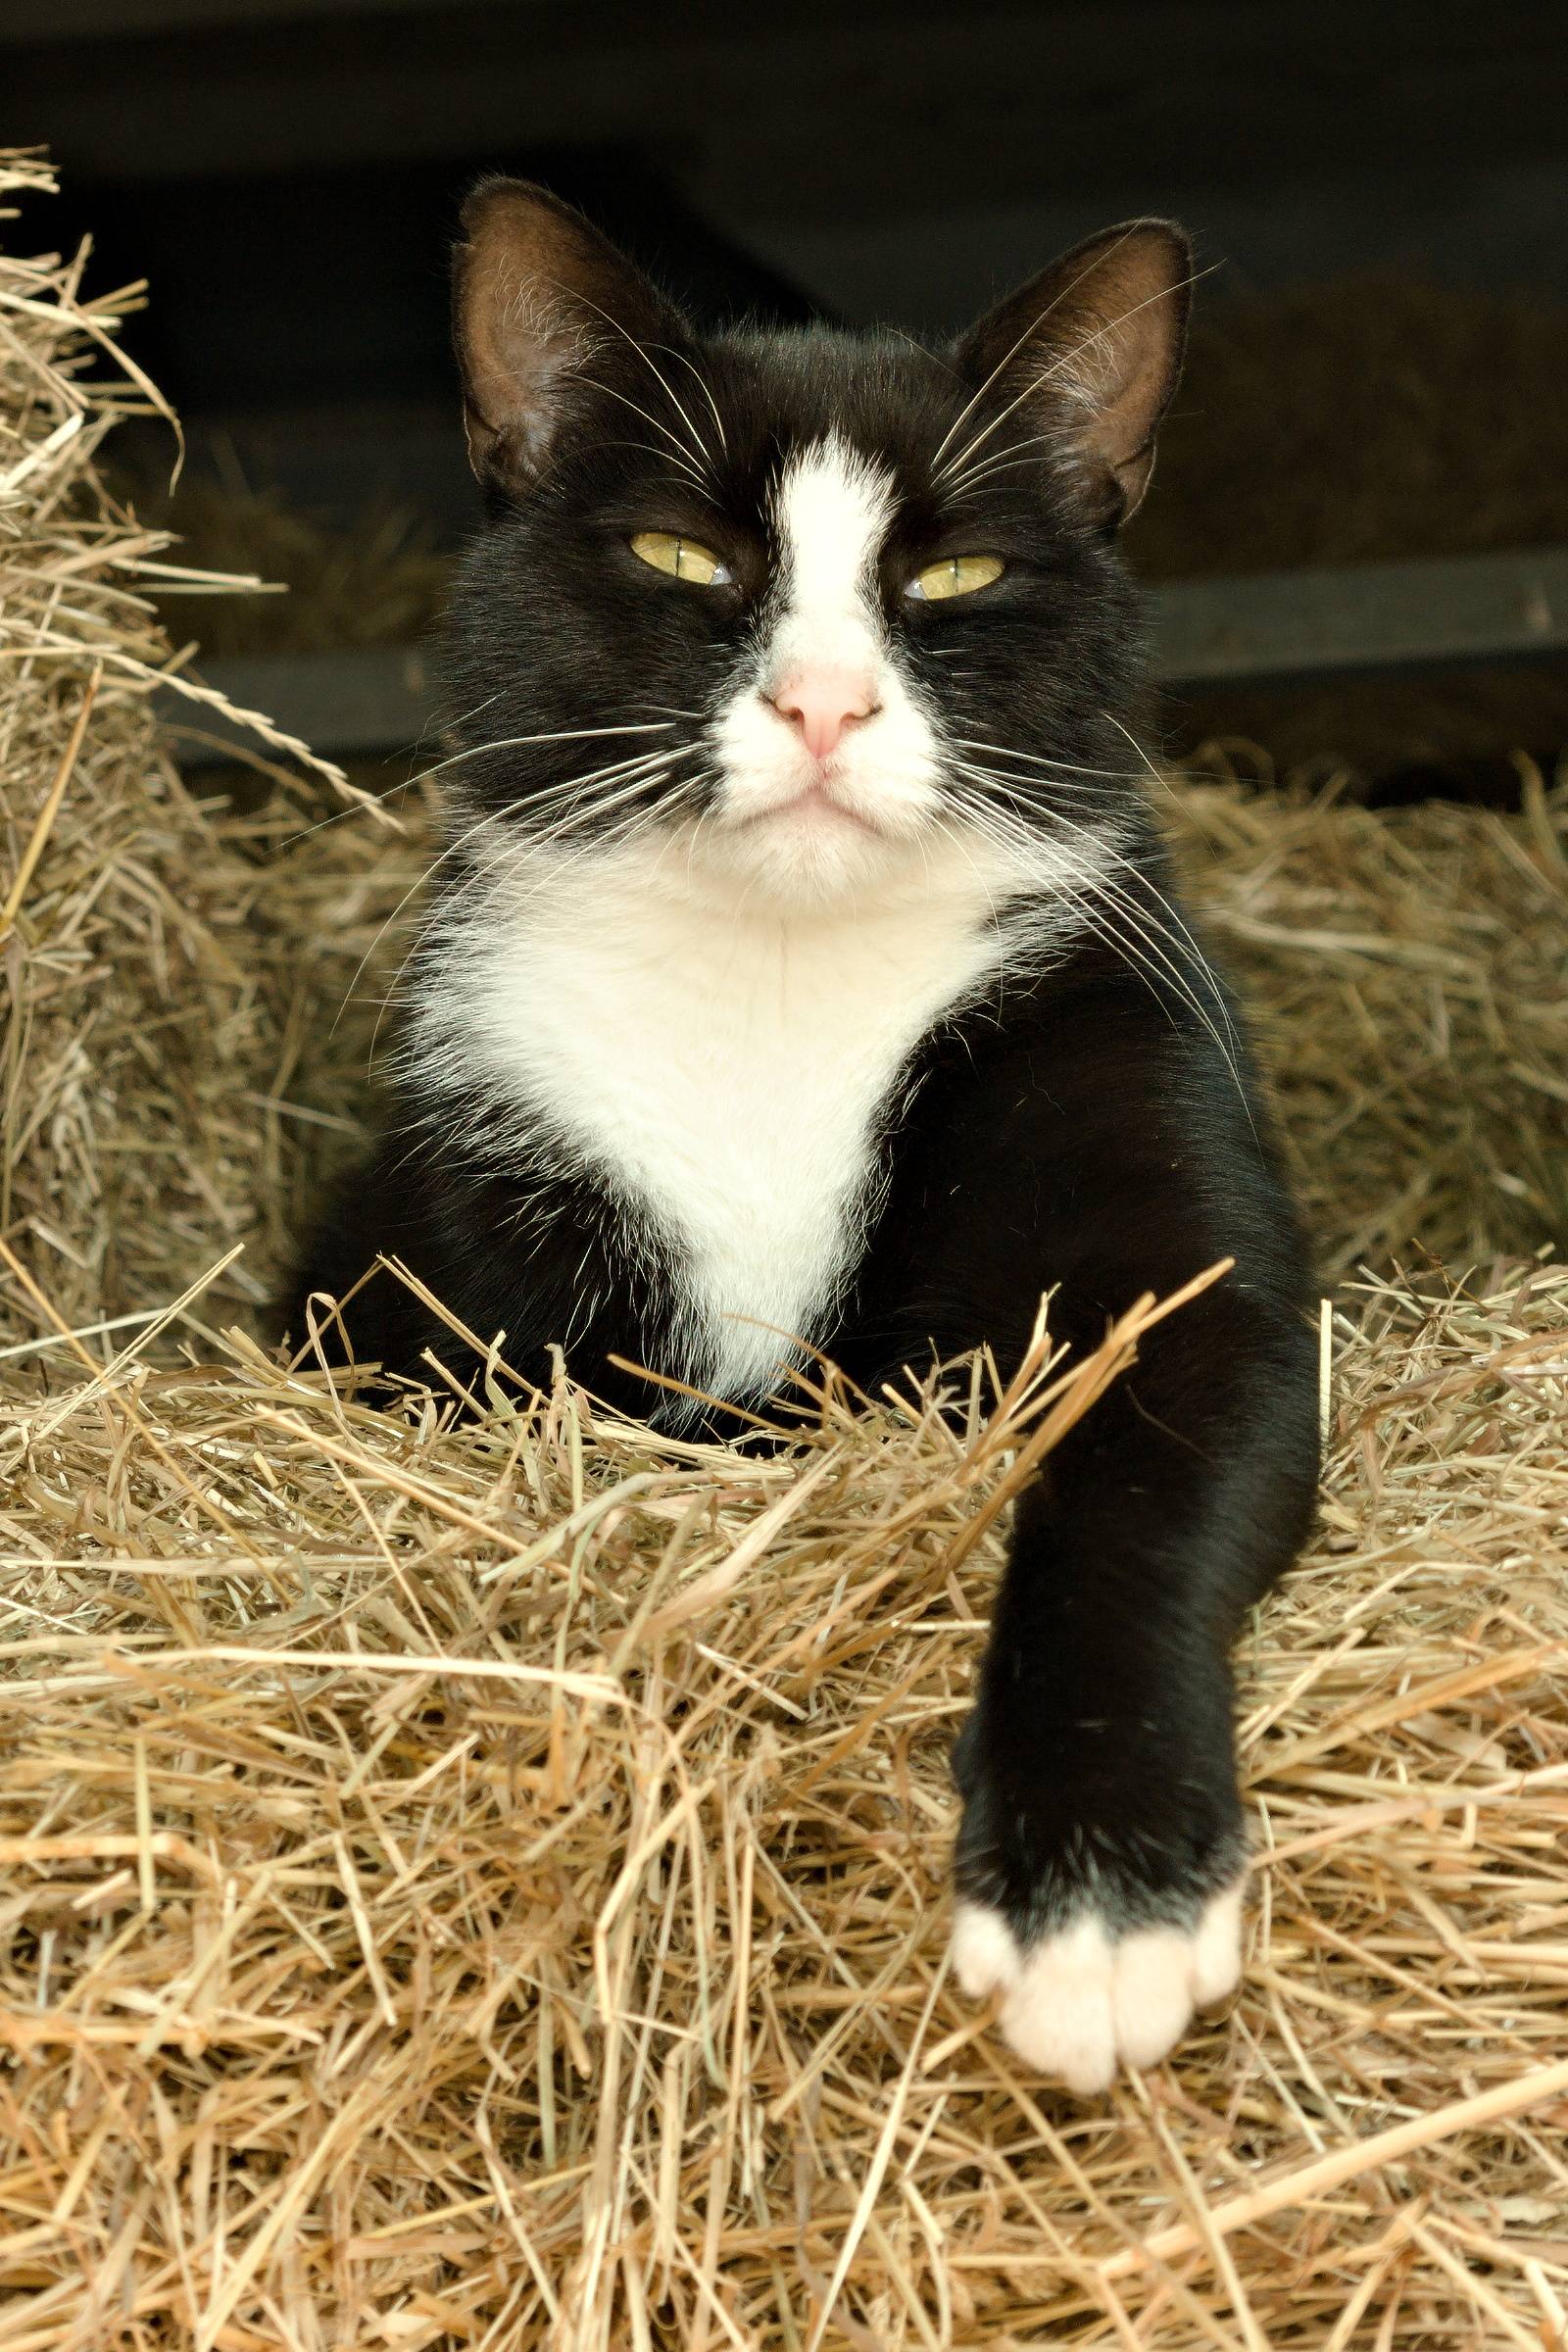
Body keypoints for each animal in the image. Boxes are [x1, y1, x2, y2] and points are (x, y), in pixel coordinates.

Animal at [297, 178, 1325, 2097]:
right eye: (685, 559)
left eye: (955, 578)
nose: (826, 705)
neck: (778, 979)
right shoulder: (459, 1234)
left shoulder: (1152, 1140)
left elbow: (1146, 1490)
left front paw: (1102, 1901)